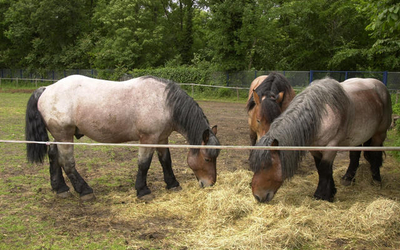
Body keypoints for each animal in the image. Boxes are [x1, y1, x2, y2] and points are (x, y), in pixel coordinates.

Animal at [25, 75, 220, 200]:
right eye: (207, 158)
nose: (210, 184)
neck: (164, 102)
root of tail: (47, 89)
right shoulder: (148, 139)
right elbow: (144, 164)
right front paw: (143, 191)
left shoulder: (161, 138)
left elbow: (166, 161)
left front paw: (173, 184)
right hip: (64, 135)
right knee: (67, 163)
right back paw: (85, 191)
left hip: (59, 135)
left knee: (53, 155)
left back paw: (60, 188)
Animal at [248, 78, 392, 203]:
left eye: (266, 166)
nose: (257, 196)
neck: (319, 117)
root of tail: (381, 86)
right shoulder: (314, 148)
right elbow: (320, 168)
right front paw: (331, 192)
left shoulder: (331, 147)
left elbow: (325, 169)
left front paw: (321, 195)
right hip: (357, 137)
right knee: (354, 155)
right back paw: (348, 178)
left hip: (380, 134)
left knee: (375, 154)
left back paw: (376, 180)